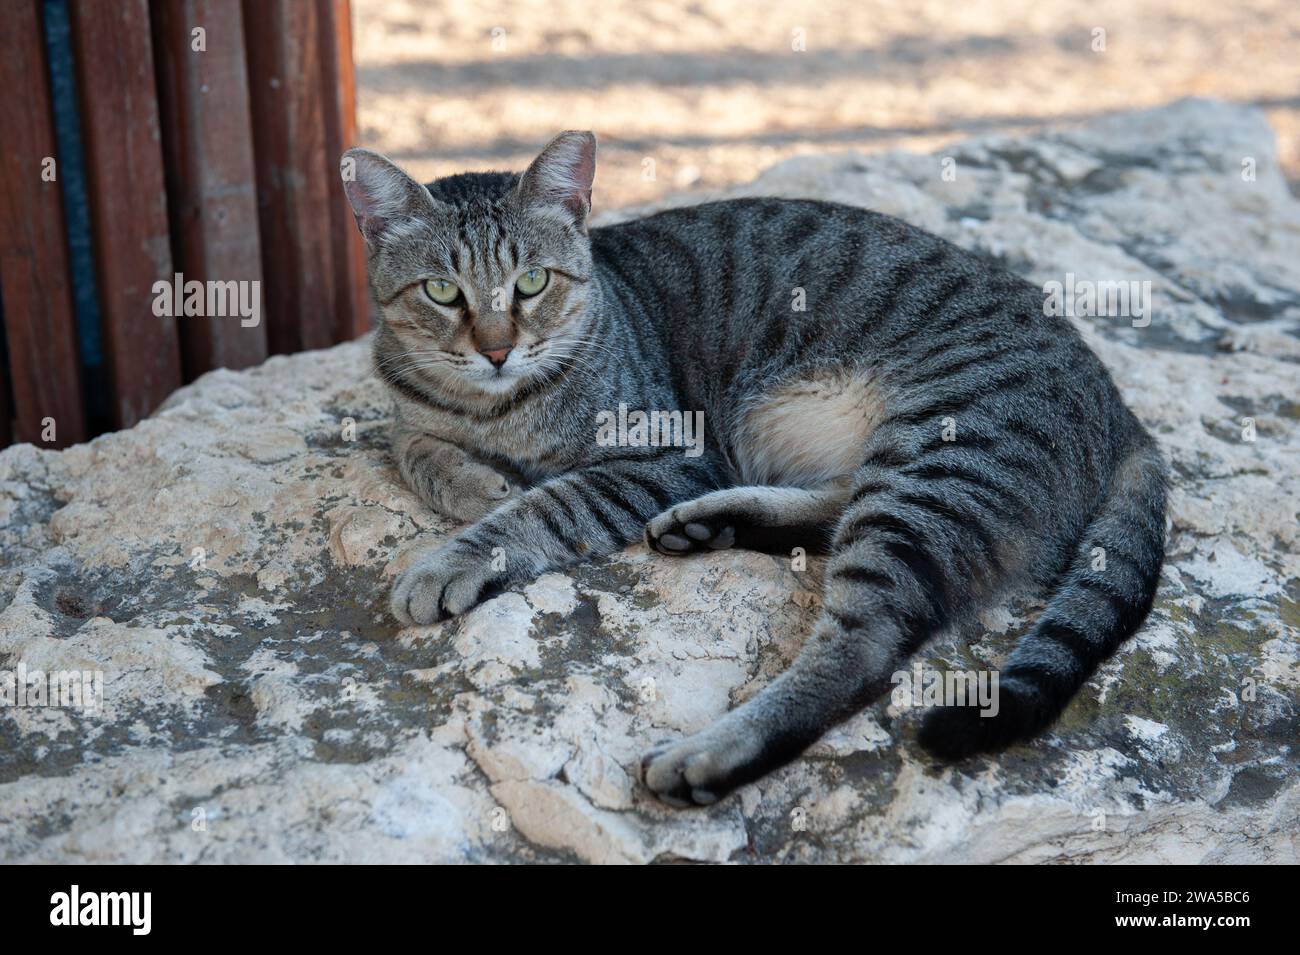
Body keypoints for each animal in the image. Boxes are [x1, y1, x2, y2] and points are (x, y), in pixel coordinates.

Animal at [338, 130, 1170, 810]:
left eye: (533, 283)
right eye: (442, 291)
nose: (497, 348)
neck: (494, 408)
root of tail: (1119, 402)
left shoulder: (667, 455)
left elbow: (542, 505)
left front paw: (455, 552)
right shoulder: (413, 409)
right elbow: (410, 444)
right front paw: (470, 481)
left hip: (934, 459)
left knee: (864, 648)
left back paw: (708, 754)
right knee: (831, 515)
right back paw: (714, 523)